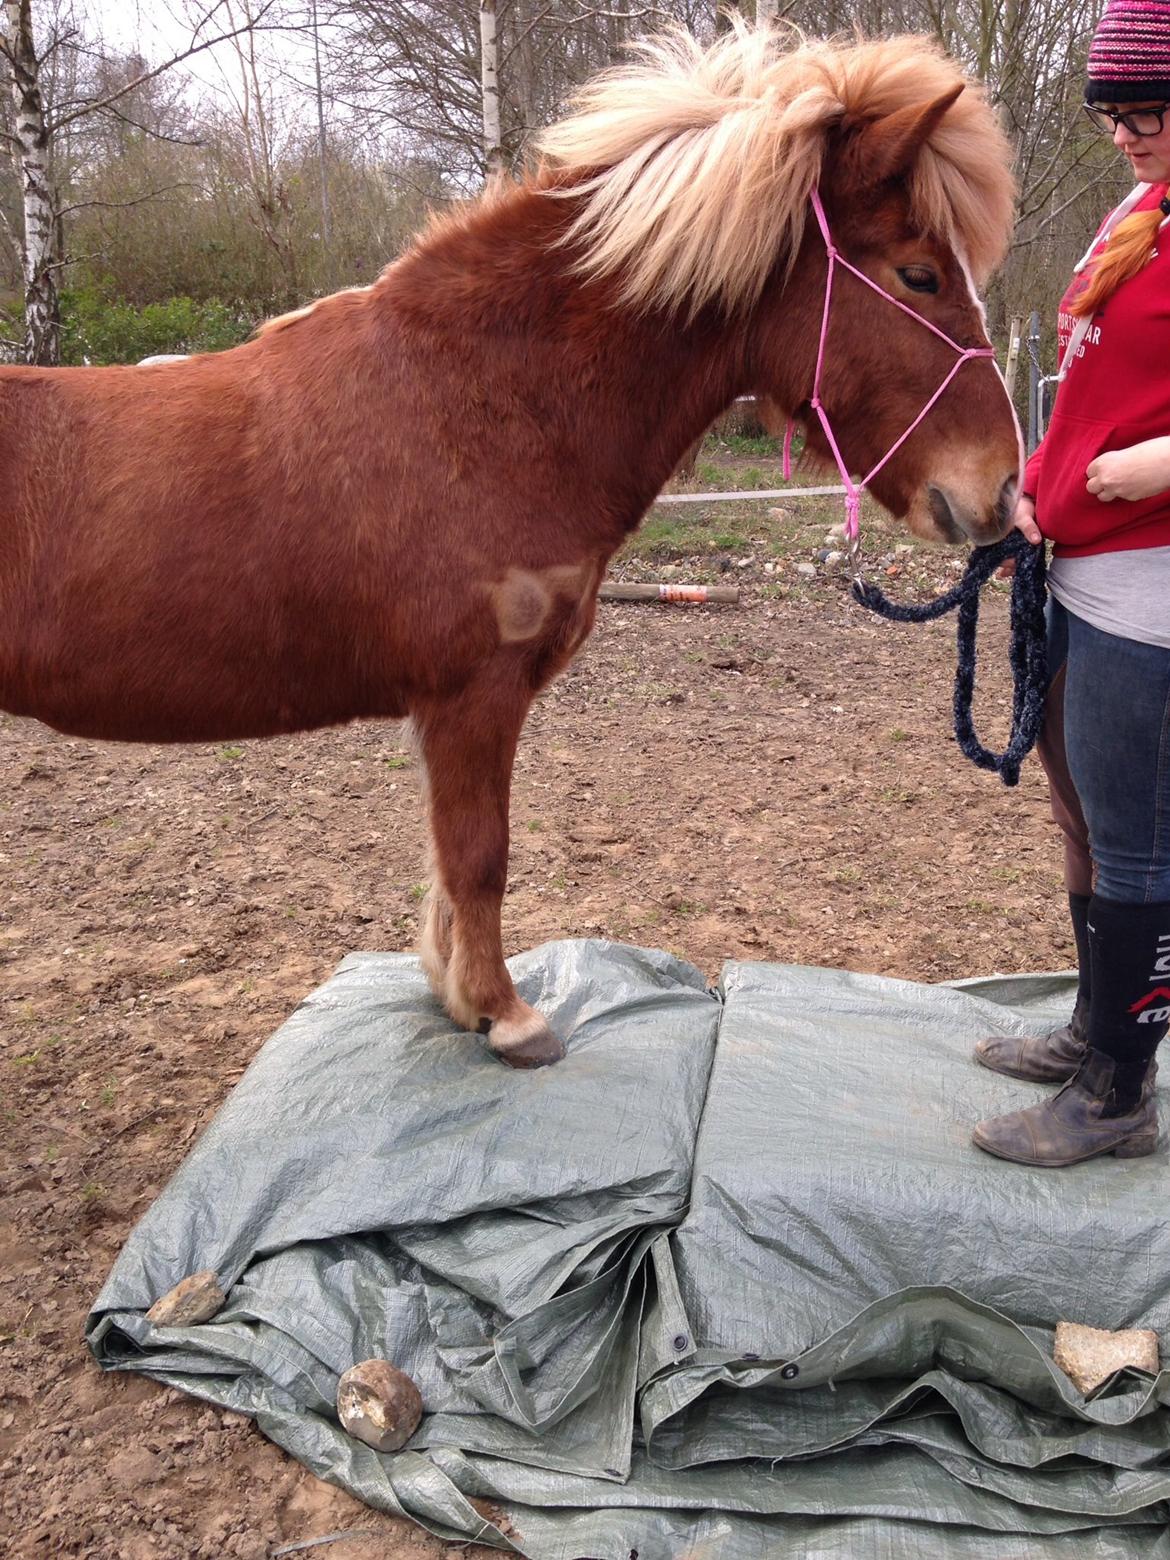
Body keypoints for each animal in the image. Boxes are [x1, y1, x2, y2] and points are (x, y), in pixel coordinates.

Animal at [0, 27, 1023, 1073]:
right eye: (919, 274)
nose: (1001, 490)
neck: (477, 402)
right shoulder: (472, 696)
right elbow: (479, 855)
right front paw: (505, 1015)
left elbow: (447, 862)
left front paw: (456, 993)